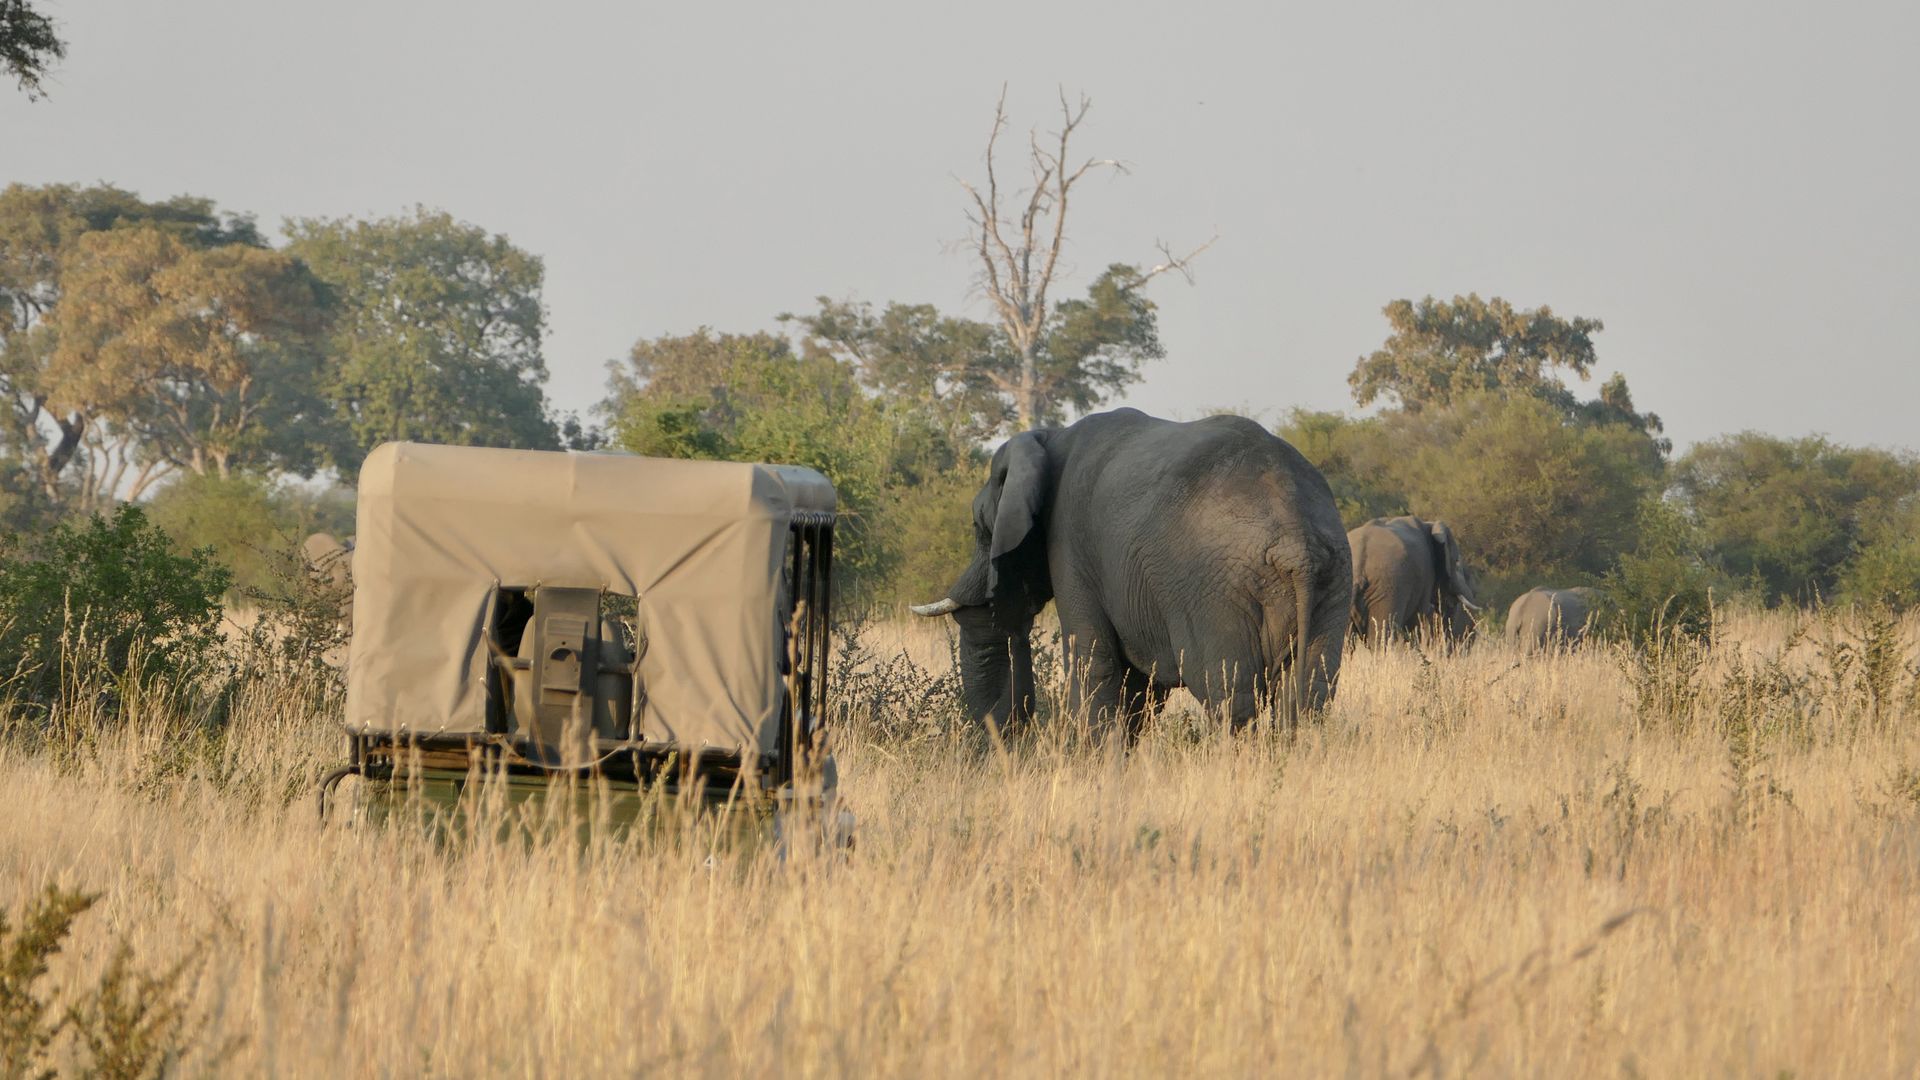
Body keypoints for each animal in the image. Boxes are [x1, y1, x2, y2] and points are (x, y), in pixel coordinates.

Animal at [910, 403, 1351, 730]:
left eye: (980, 528)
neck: (1048, 437)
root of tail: (1296, 543)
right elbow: (1137, 686)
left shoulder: (1071, 544)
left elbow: (1094, 662)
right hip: (1330, 585)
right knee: (1306, 698)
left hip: (1214, 591)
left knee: (1229, 695)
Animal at [1344, 511, 1474, 638]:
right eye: (1456, 561)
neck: (1429, 525)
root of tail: (1359, 565)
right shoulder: (1426, 575)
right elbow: (1416, 620)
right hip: (1387, 589)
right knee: (1381, 632)